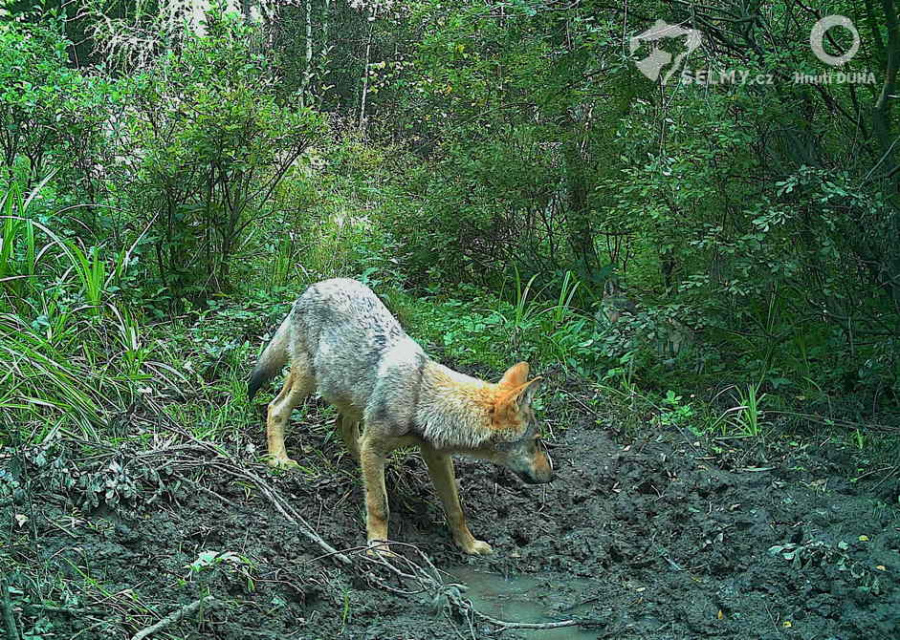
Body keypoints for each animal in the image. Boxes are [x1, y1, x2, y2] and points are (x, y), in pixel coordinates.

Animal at [250, 280, 552, 556]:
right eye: (537, 442)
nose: (552, 475)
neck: (421, 401)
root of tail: (316, 284)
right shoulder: (376, 444)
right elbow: (379, 506)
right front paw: (379, 549)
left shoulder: (437, 456)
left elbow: (456, 509)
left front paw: (469, 545)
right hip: (309, 379)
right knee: (275, 409)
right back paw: (279, 459)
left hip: (346, 394)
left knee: (344, 428)